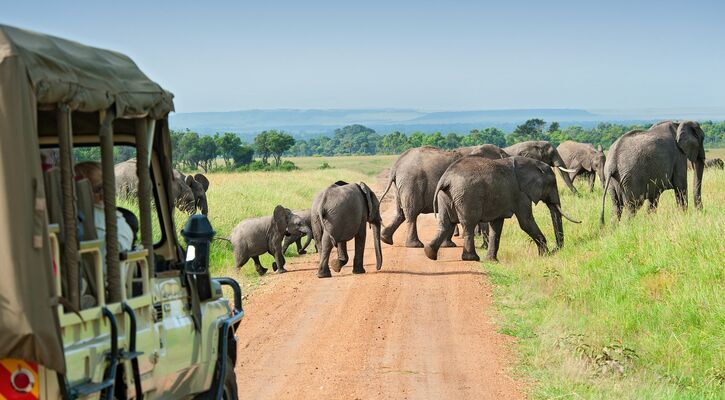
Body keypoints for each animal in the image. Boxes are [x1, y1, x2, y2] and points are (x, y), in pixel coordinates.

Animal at [378, 144, 510, 247]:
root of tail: (396, 166)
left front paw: (448, 245)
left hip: (400, 186)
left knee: (400, 213)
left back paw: (385, 239)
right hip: (411, 182)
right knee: (411, 213)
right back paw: (415, 245)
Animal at [422, 155, 580, 262]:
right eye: (552, 183)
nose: (556, 250)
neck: (533, 164)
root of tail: (446, 178)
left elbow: (497, 225)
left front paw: (492, 261)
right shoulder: (521, 194)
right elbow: (526, 222)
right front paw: (544, 256)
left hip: (445, 196)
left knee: (445, 223)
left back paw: (429, 252)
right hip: (467, 196)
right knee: (468, 224)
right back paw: (472, 258)